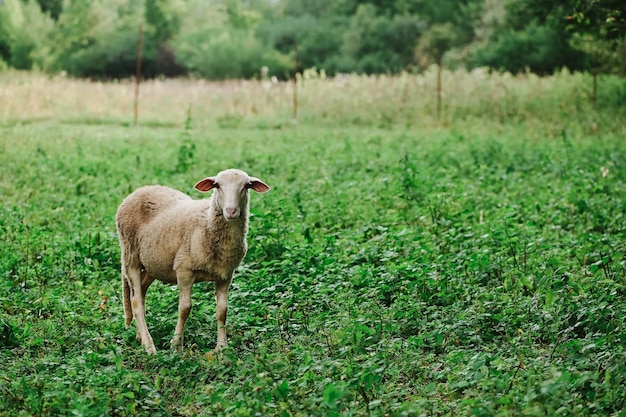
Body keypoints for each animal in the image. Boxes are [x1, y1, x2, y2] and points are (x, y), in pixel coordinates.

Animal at [116, 167, 270, 352]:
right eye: (217, 185)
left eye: (247, 186)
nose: (231, 211)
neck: (207, 222)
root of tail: (140, 190)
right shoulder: (184, 269)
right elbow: (185, 308)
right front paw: (176, 344)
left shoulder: (226, 274)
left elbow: (222, 310)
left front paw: (221, 347)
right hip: (130, 255)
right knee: (136, 301)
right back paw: (149, 346)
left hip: (152, 265)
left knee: (141, 293)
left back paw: (140, 337)